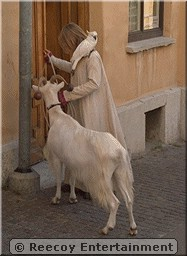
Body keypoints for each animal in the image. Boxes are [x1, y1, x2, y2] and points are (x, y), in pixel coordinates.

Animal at [32, 76, 137, 236]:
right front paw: (73, 198)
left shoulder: (57, 157)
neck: (58, 117)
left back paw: (107, 228)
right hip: (119, 174)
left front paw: (56, 198)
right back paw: (132, 228)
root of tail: (119, 152)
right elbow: (72, 179)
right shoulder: (72, 161)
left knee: (114, 202)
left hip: (105, 177)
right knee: (128, 199)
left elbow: (58, 178)